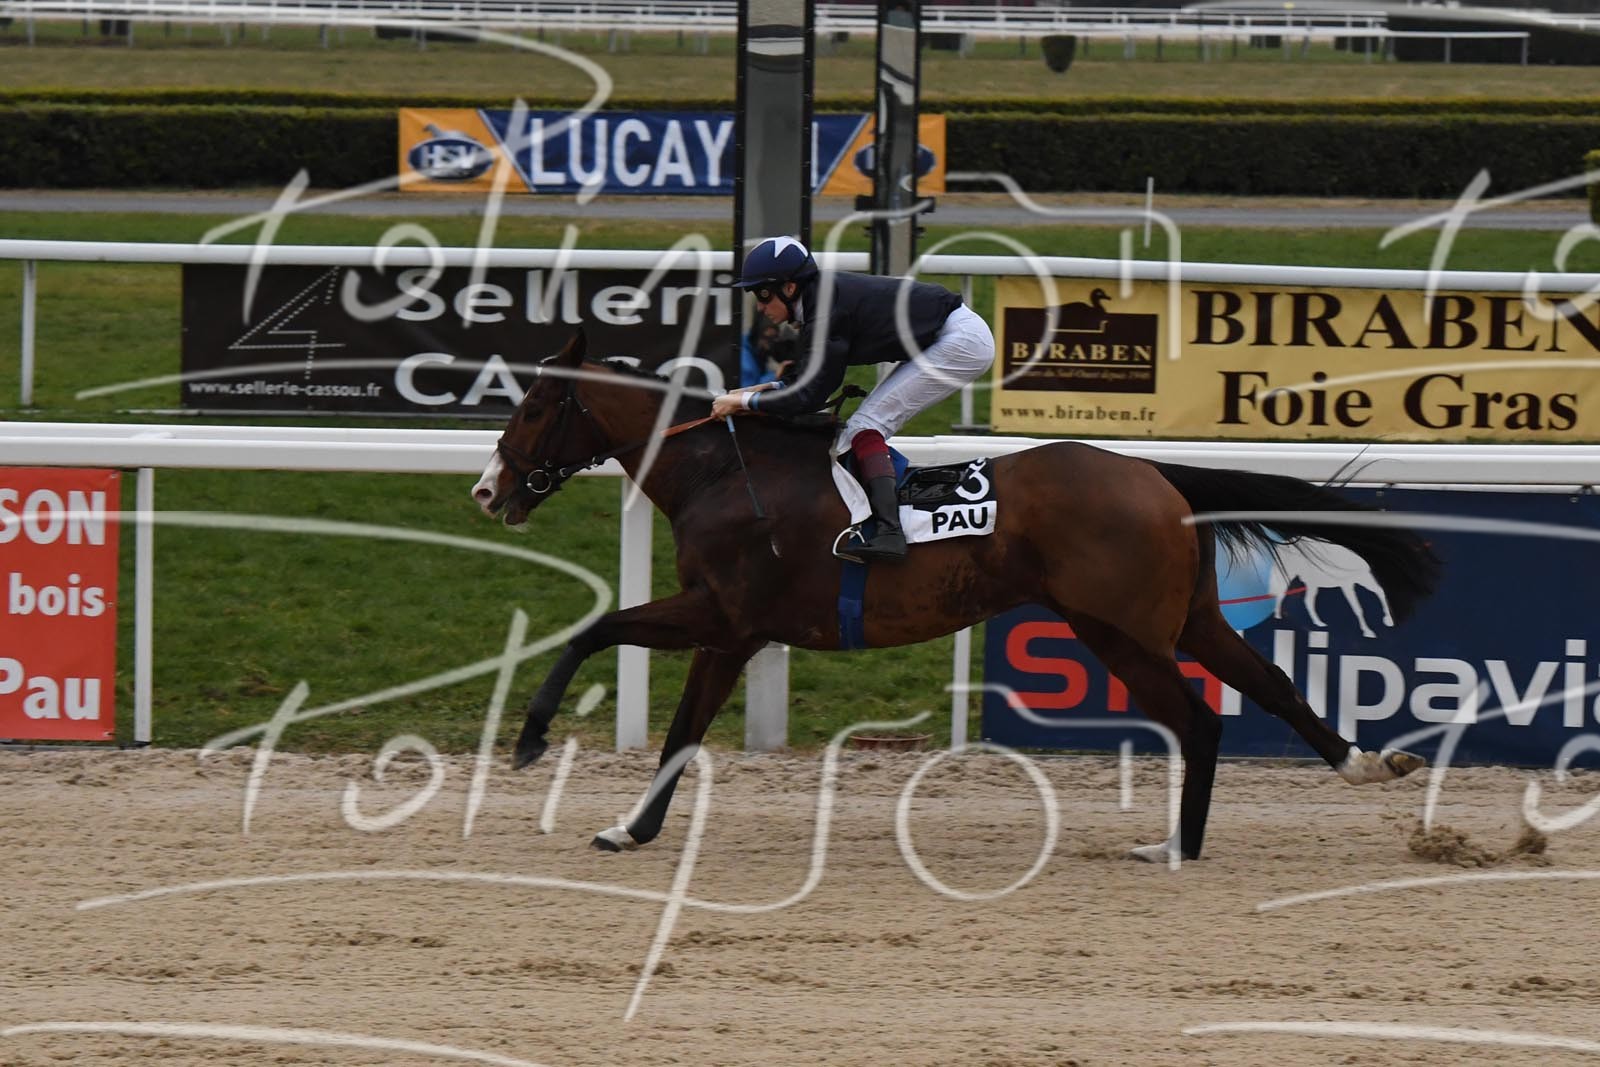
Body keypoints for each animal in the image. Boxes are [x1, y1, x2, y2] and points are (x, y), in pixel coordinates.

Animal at [470, 330, 1440, 862]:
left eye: (532, 410)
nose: (487, 490)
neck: (718, 469)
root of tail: (1156, 475)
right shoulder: (733, 632)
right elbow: (679, 733)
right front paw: (628, 829)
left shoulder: (722, 613)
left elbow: (594, 630)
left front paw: (529, 741)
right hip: (1182, 618)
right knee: (1265, 686)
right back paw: (1358, 763)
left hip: (1120, 630)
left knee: (1199, 719)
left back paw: (1179, 844)